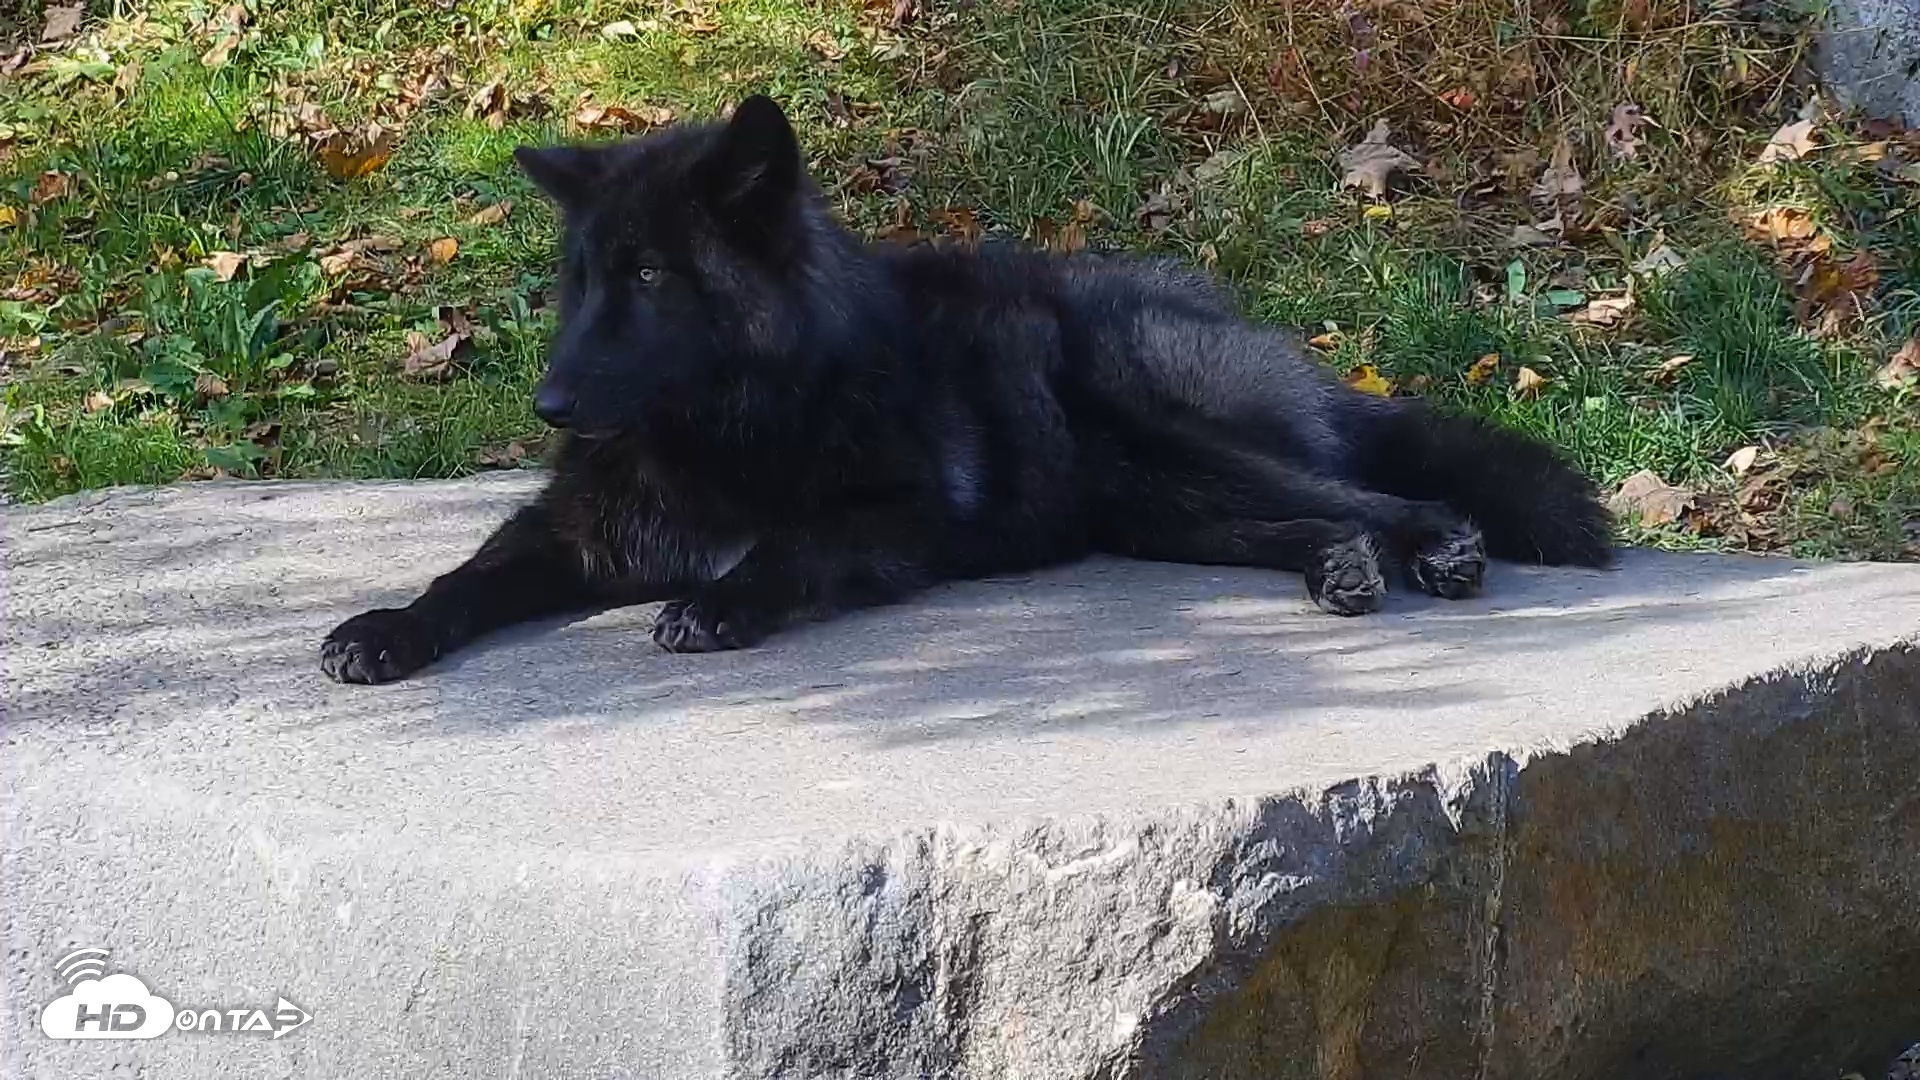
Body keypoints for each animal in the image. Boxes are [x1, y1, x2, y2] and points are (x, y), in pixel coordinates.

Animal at [319, 94, 1612, 684]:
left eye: (649, 277)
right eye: (580, 280)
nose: (547, 406)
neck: (729, 429)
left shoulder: (895, 520)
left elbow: (789, 548)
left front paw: (723, 601)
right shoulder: (574, 529)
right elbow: (468, 575)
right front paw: (385, 629)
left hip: (1170, 438)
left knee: (1387, 496)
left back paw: (1437, 546)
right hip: (1157, 505)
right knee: (1323, 517)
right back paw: (1341, 569)